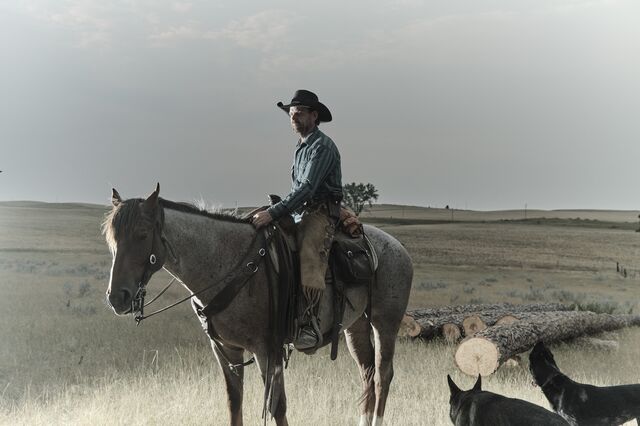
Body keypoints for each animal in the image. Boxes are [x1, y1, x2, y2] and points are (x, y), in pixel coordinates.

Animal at [102, 184, 412, 426]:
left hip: (385, 323)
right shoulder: (226, 350)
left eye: (142, 234)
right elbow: (234, 404)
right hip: (355, 326)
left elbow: (277, 407)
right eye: (111, 238)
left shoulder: (267, 350)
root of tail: (397, 246)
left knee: (383, 375)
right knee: (367, 374)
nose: (117, 297)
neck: (228, 264)